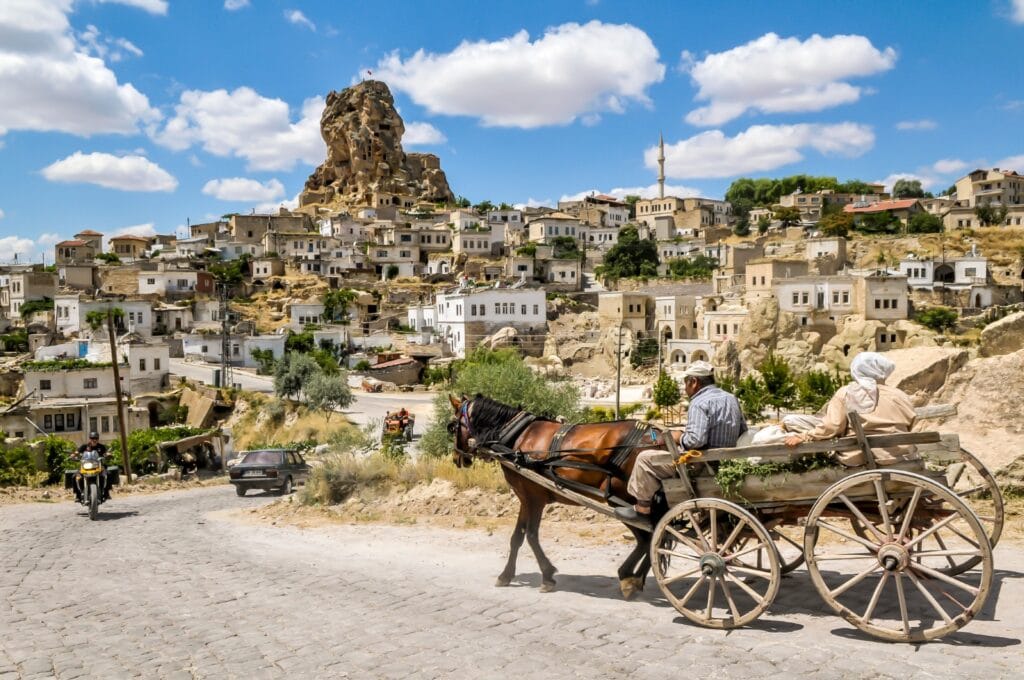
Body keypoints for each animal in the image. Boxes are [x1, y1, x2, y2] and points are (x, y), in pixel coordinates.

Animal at [446, 393, 671, 593]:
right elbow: (517, 537)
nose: (457, 458)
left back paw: (631, 578)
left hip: (623, 502)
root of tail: (658, 437)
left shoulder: (534, 498)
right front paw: (506, 575)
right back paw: (635, 578)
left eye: (453, 426)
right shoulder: (525, 498)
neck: (518, 437)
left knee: (648, 537)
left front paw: (547, 576)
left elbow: (531, 536)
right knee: (652, 538)